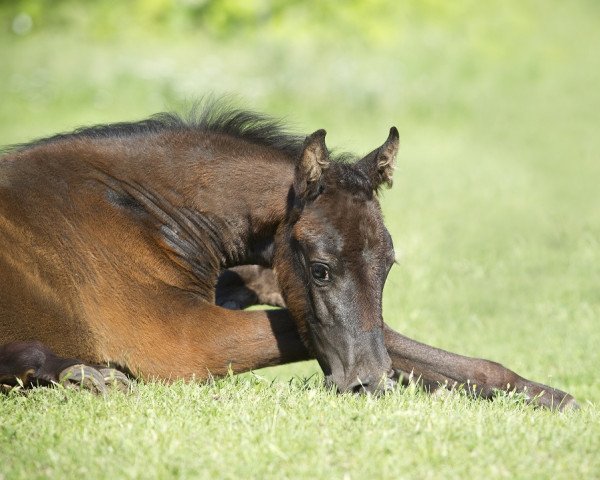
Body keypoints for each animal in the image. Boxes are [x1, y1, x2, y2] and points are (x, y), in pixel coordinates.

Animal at [0, 102, 580, 408]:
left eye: (388, 268)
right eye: (320, 270)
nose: (367, 384)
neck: (139, 208)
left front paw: (547, 396)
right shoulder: (180, 341)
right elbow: (328, 331)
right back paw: (84, 375)